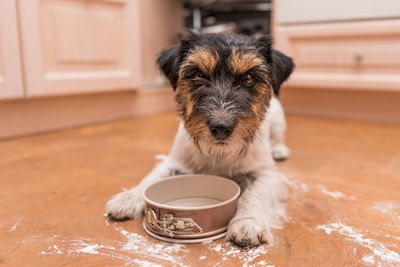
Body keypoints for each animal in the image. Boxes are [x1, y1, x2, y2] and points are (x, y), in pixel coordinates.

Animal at [106, 32, 294, 248]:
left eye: (249, 78)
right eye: (198, 75)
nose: (221, 127)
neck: (218, 154)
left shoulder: (267, 174)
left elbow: (254, 194)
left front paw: (247, 223)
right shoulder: (173, 163)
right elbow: (150, 179)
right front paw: (127, 198)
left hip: (279, 121)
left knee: (278, 137)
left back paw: (279, 150)